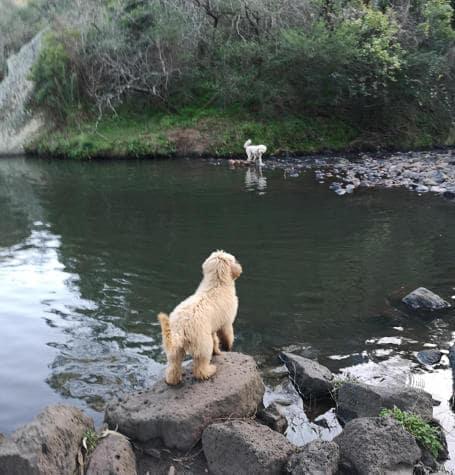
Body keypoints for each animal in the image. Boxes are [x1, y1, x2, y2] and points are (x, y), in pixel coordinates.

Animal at [158, 251, 242, 384]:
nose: (240, 268)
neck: (217, 284)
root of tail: (180, 329)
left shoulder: (212, 328)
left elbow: (215, 340)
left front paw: (217, 351)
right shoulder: (226, 323)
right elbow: (227, 337)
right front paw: (227, 349)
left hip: (174, 349)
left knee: (173, 367)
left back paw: (173, 380)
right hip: (202, 344)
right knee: (200, 369)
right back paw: (210, 370)